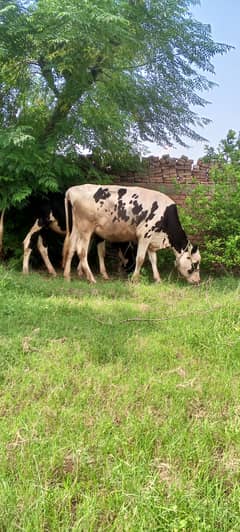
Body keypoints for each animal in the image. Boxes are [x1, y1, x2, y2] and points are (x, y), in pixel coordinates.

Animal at [62, 184, 201, 284]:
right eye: (195, 263)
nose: (198, 281)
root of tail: (73, 190)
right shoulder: (144, 235)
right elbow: (140, 258)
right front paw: (135, 279)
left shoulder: (152, 239)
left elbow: (153, 260)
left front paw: (158, 279)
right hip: (86, 228)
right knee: (81, 251)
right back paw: (91, 278)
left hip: (77, 228)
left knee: (71, 248)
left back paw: (67, 276)